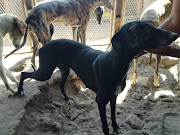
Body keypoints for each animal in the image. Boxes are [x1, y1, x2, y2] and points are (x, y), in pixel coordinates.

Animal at [17, 20, 179, 134]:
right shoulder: (100, 101)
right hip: (45, 72)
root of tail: (45, 45)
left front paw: (117, 128)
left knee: (61, 85)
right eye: (142, 30)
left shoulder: (114, 97)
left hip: (64, 70)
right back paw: (20, 91)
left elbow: (113, 116)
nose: (175, 35)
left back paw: (67, 99)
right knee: (23, 74)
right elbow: (105, 125)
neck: (116, 64)